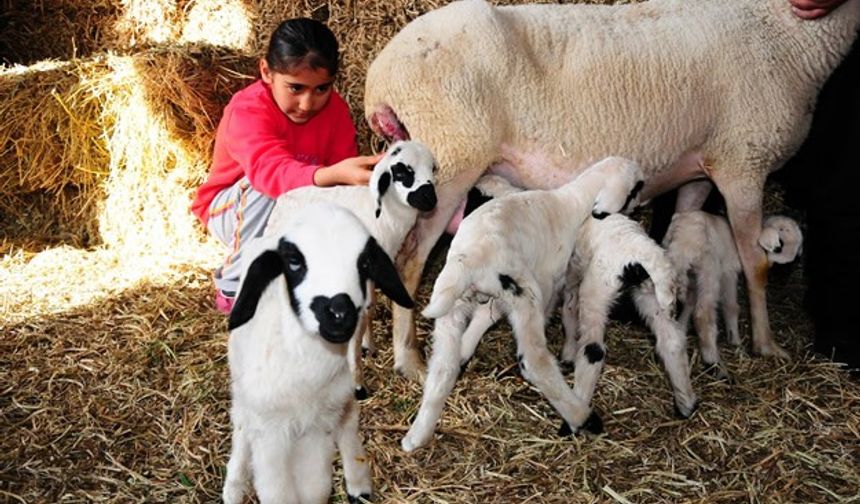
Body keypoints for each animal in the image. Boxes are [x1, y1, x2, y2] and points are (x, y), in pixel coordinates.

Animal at [220, 202, 412, 504]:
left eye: (365, 263)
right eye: (294, 261)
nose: (340, 313)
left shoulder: (319, 427)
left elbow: (316, 488)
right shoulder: (271, 436)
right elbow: (279, 493)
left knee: (349, 423)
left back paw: (358, 482)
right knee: (240, 423)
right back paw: (234, 486)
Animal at [264, 139, 440, 398]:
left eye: (433, 169)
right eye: (401, 171)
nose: (429, 199)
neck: (387, 217)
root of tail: (281, 201)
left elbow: (369, 308)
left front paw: (369, 346)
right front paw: (357, 384)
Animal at [400, 156, 640, 450]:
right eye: (636, 186)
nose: (637, 207)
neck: (570, 202)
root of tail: (470, 260)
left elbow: (483, 320)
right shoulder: (548, 280)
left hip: (453, 304)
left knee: (443, 367)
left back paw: (416, 435)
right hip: (525, 295)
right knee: (533, 362)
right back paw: (584, 418)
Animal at [664, 210, 808, 374]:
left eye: (795, 258)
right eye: (779, 247)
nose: (781, 282)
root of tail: (683, 236)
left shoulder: (696, 278)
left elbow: (690, 302)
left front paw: (681, 328)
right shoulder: (729, 272)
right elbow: (731, 307)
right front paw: (735, 340)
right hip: (709, 269)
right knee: (703, 314)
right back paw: (714, 363)